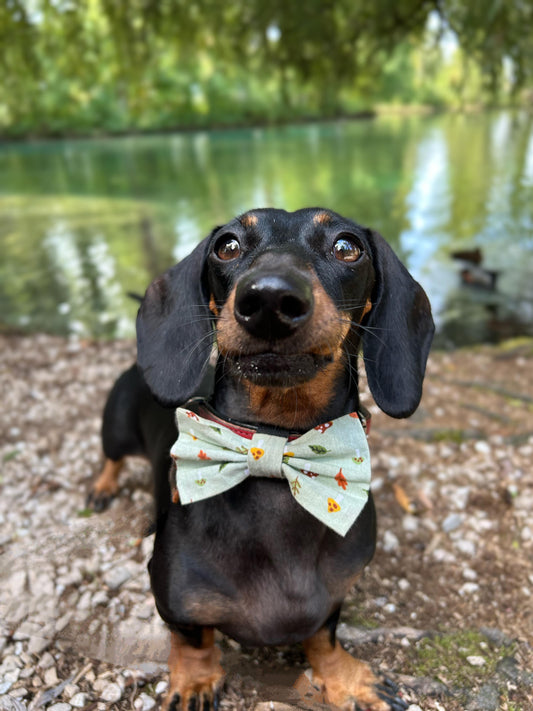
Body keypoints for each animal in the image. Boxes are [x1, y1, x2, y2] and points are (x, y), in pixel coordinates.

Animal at [89, 207, 434, 711]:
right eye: (227, 245)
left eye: (347, 246)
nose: (270, 298)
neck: (276, 440)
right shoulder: (172, 596)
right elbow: (192, 639)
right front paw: (195, 681)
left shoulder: (331, 599)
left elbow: (323, 636)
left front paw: (345, 679)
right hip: (114, 430)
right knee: (111, 459)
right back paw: (102, 487)